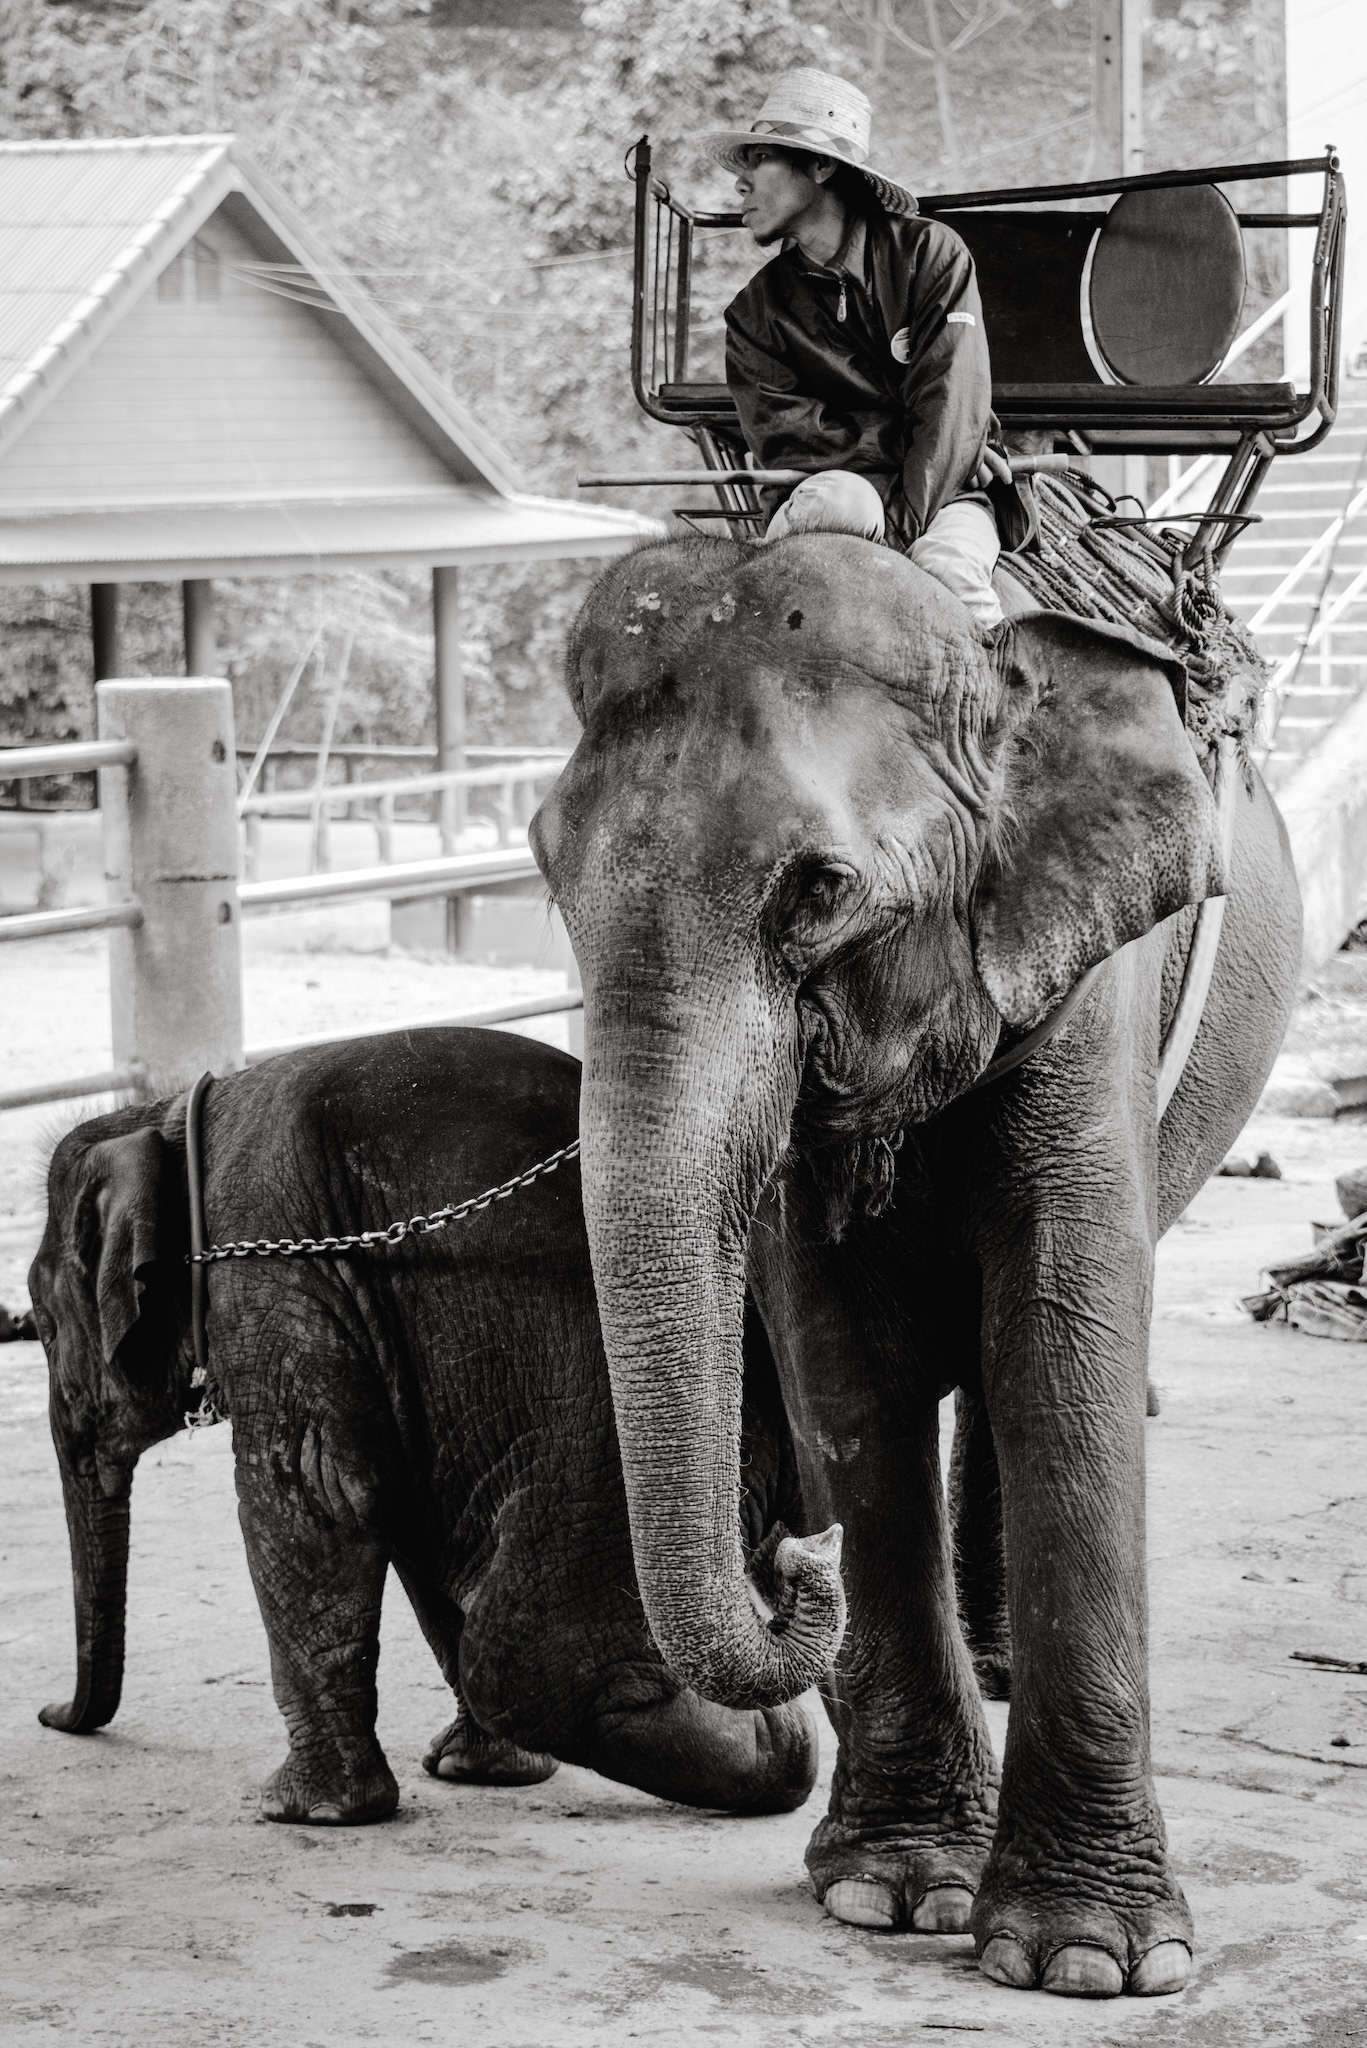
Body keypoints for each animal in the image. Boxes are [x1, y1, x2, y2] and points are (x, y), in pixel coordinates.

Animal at [28, 1026, 817, 1824]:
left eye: (42, 1328)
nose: (49, 1716)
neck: (169, 1119)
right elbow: (409, 1512)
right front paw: (475, 1773)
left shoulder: (272, 1270)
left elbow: (313, 1494)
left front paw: (306, 1813)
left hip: (610, 1439)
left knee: (538, 1655)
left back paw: (767, 1739)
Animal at [529, 532, 1301, 1998]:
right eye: (545, 871)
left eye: (819, 890)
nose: (791, 1558)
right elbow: (844, 1368)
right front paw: (893, 1894)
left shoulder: (1091, 971)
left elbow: (1060, 1334)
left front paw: (1085, 1960)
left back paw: (998, 1664)